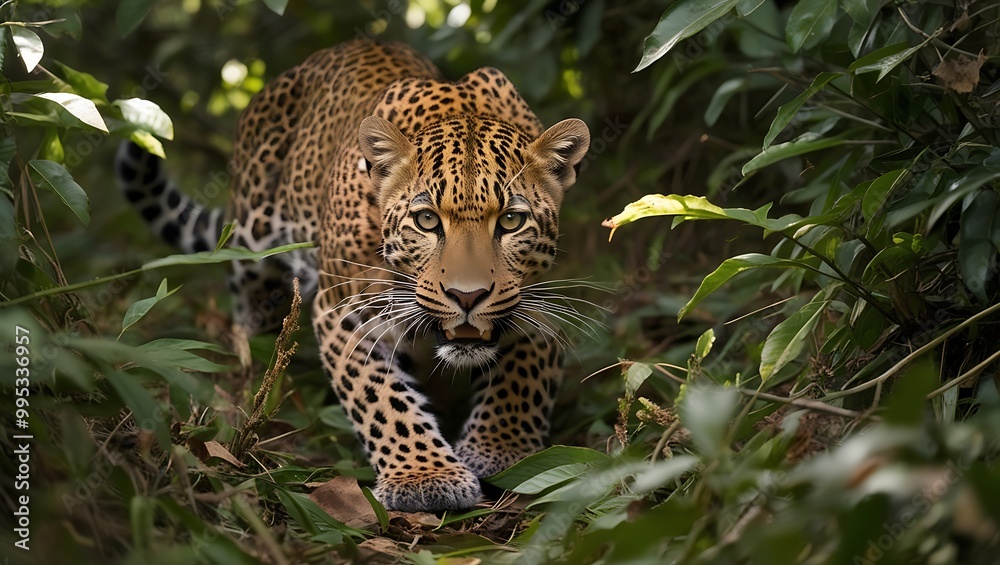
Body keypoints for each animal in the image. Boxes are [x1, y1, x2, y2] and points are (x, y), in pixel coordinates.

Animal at [115, 40, 591, 512]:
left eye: (511, 221)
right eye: (426, 220)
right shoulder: (346, 312)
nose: (467, 296)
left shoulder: (536, 303)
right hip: (251, 240)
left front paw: (503, 451)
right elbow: (382, 401)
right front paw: (424, 476)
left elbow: (521, 379)